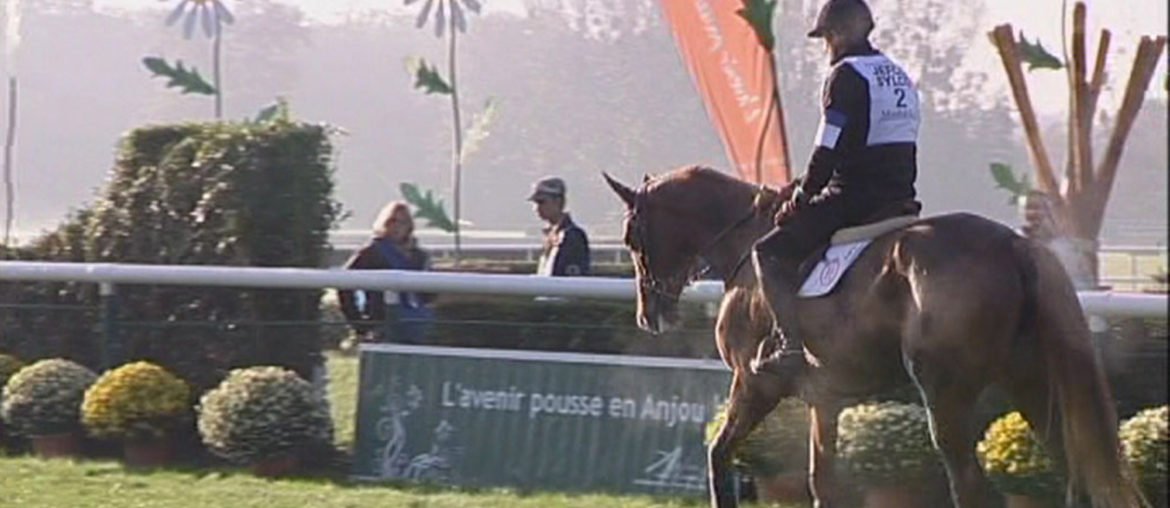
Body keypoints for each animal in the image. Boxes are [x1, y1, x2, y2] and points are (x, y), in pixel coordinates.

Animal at [602, 166, 1144, 508]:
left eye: (631, 237)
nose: (650, 315)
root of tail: (1013, 244)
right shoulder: (824, 399)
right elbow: (823, 485)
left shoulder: (755, 385)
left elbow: (718, 456)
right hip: (1029, 383)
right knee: (1071, 474)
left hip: (946, 396)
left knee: (972, 489)